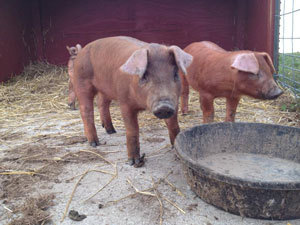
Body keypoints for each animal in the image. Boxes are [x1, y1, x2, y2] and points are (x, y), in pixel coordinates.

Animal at [72, 36, 192, 167]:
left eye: (175, 74)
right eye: (144, 75)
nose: (164, 106)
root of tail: (82, 51)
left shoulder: (174, 102)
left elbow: (173, 125)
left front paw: (175, 149)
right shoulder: (124, 102)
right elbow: (132, 129)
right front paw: (133, 162)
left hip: (106, 89)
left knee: (102, 103)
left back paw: (111, 131)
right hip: (81, 81)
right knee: (86, 110)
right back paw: (94, 143)